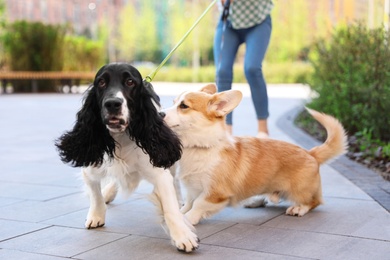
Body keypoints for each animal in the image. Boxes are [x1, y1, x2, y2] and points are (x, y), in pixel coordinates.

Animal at [55, 63, 198, 252]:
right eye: (101, 82)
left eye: (130, 82)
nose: (112, 103)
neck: (121, 137)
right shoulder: (91, 167)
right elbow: (95, 193)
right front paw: (96, 215)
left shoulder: (160, 170)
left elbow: (170, 207)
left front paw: (183, 236)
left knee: (174, 179)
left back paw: (179, 198)